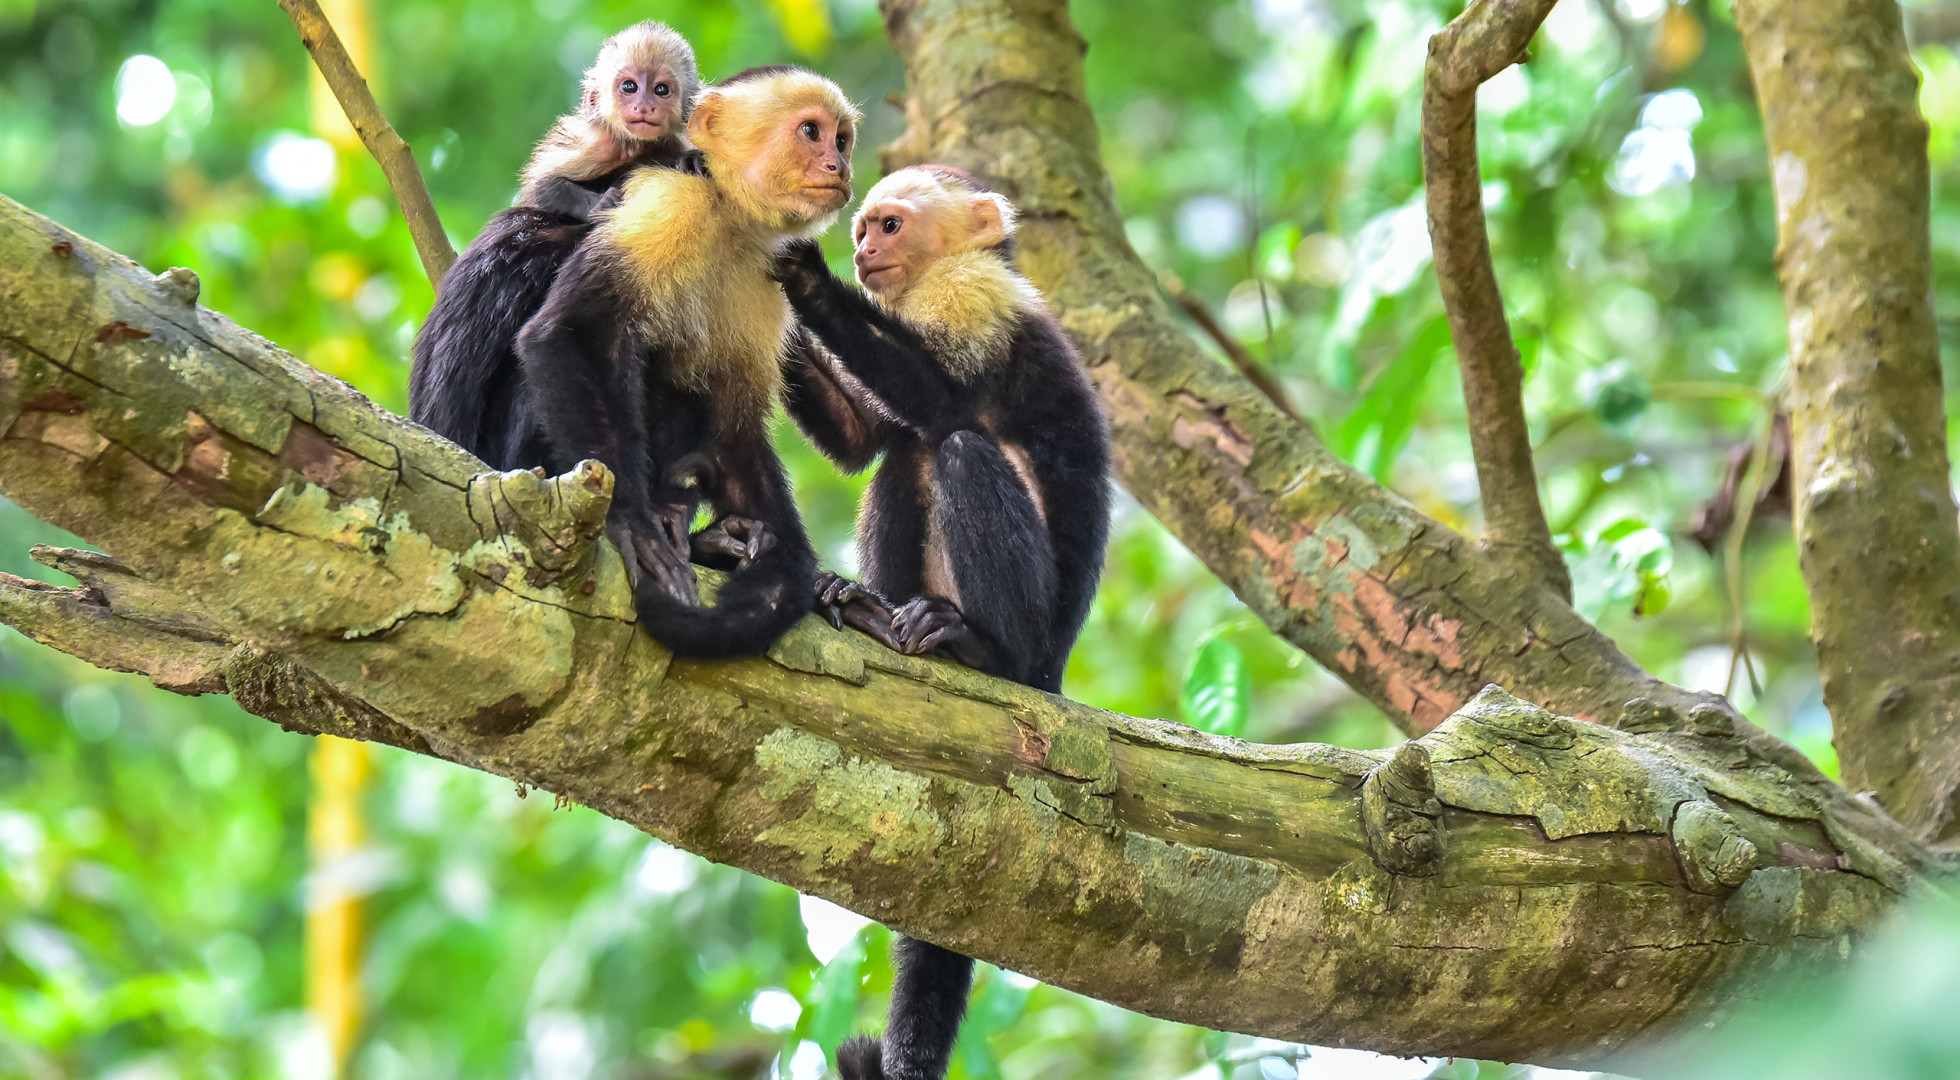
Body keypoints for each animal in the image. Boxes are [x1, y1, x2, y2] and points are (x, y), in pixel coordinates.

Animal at [515, 65, 861, 658]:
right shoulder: (667, 204)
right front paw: (631, 522)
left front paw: (788, 568)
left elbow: (732, 429)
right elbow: (573, 332)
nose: (838, 165)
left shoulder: (769, 279)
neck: (726, 213)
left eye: (841, 139)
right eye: (811, 132)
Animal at [769, 165, 1112, 1080]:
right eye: (865, 228)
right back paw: (872, 613)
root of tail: (1054, 671)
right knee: (903, 457)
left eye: (888, 225)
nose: (862, 251)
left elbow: (944, 396)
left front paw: (804, 276)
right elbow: (865, 438)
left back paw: (978, 648)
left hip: (1036, 636)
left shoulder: (975, 296)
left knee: (953, 446)